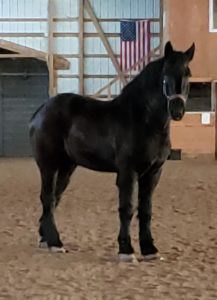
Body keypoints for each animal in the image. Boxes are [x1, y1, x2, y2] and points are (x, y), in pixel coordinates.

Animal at [28, 41, 195, 262]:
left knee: (54, 199)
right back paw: (56, 243)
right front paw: (126, 250)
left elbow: (146, 210)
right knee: (48, 198)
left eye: (188, 74)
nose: (177, 111)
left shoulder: (153, 173)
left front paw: (150, 249)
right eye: (165, 74)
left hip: (66, 168)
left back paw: (45, 239)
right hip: (49, 166)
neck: (143, 120)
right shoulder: (128, 171)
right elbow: (127, 208)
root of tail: (41, 111)